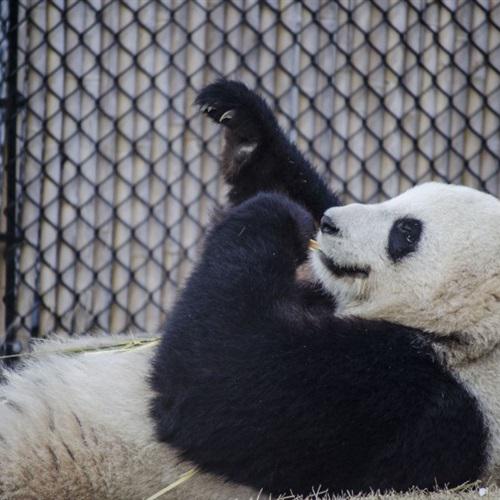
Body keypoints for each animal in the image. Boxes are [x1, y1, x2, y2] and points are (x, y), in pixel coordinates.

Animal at [0, 80, 498, 498]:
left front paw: (274, 213)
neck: (465, 337)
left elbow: (219, 383)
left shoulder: (406, 397)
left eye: (405, 233)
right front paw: (244, 125)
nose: (329, 223)